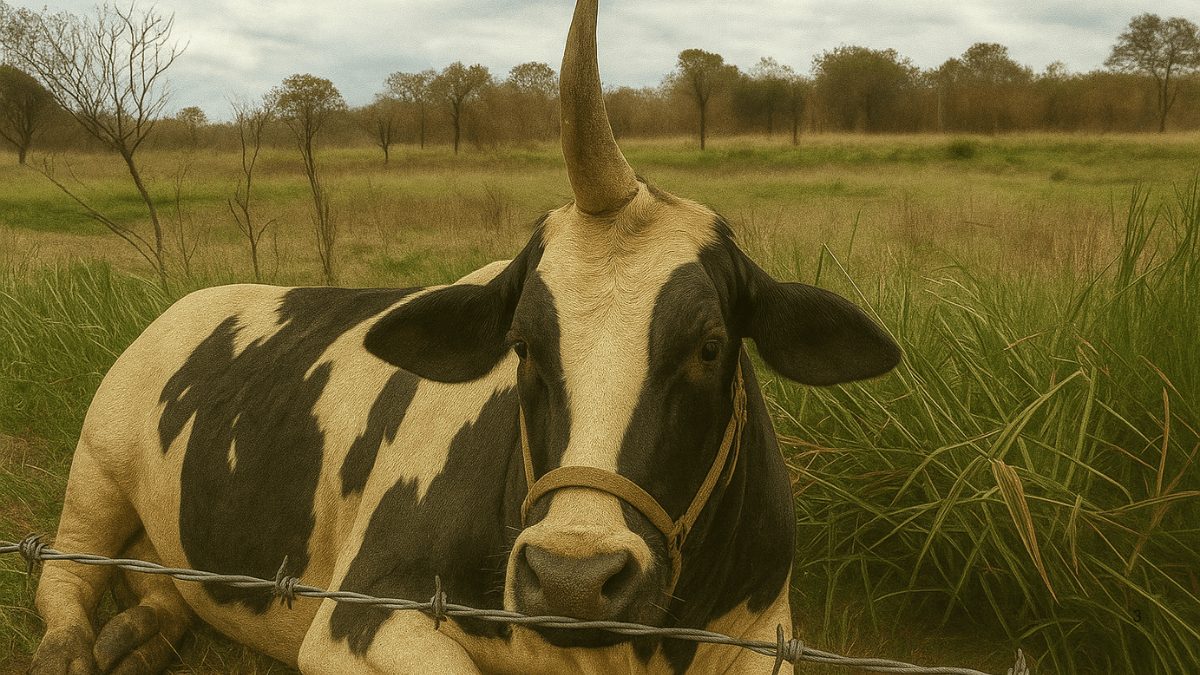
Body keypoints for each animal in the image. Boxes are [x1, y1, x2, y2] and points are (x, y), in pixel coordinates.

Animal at [29, 1, 901, 673]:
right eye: (522, 346)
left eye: (711, 346)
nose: (573, 579)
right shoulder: (357, 615)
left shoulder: (768, 631)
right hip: (94, 465)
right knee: (63, 572)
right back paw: (73, 646)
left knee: (159, 586)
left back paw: (138, 634)